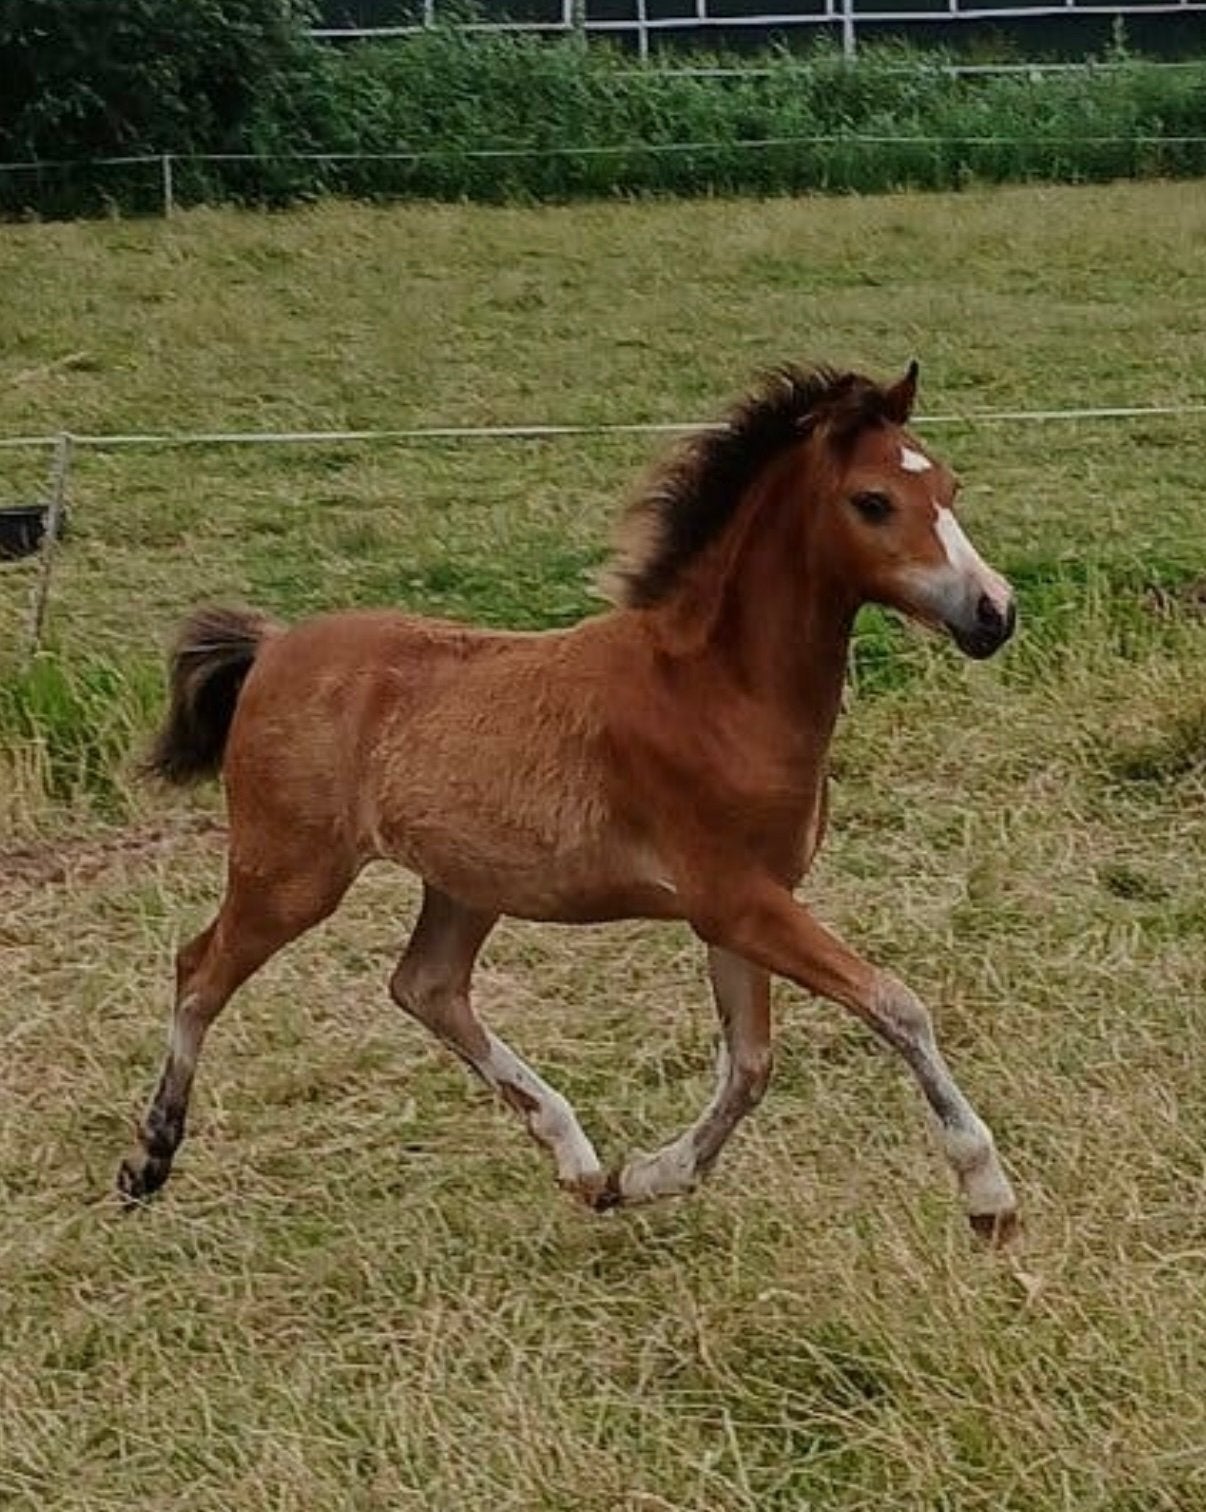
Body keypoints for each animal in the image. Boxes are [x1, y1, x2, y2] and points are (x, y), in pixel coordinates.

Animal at [118, 361, 1020, 1245]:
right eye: (872, 501)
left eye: (950, 486)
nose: (995, 612)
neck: (716, 691)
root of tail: (271, 650)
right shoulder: (736, 899)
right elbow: (894, 1006)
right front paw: (988, 1195)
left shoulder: (745, 906)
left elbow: (750, 1064)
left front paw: (647, 1176)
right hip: (291, 872)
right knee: (199, 969)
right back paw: (148, 1160)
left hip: (463, 883)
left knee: (426, 986)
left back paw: (580, 1162)